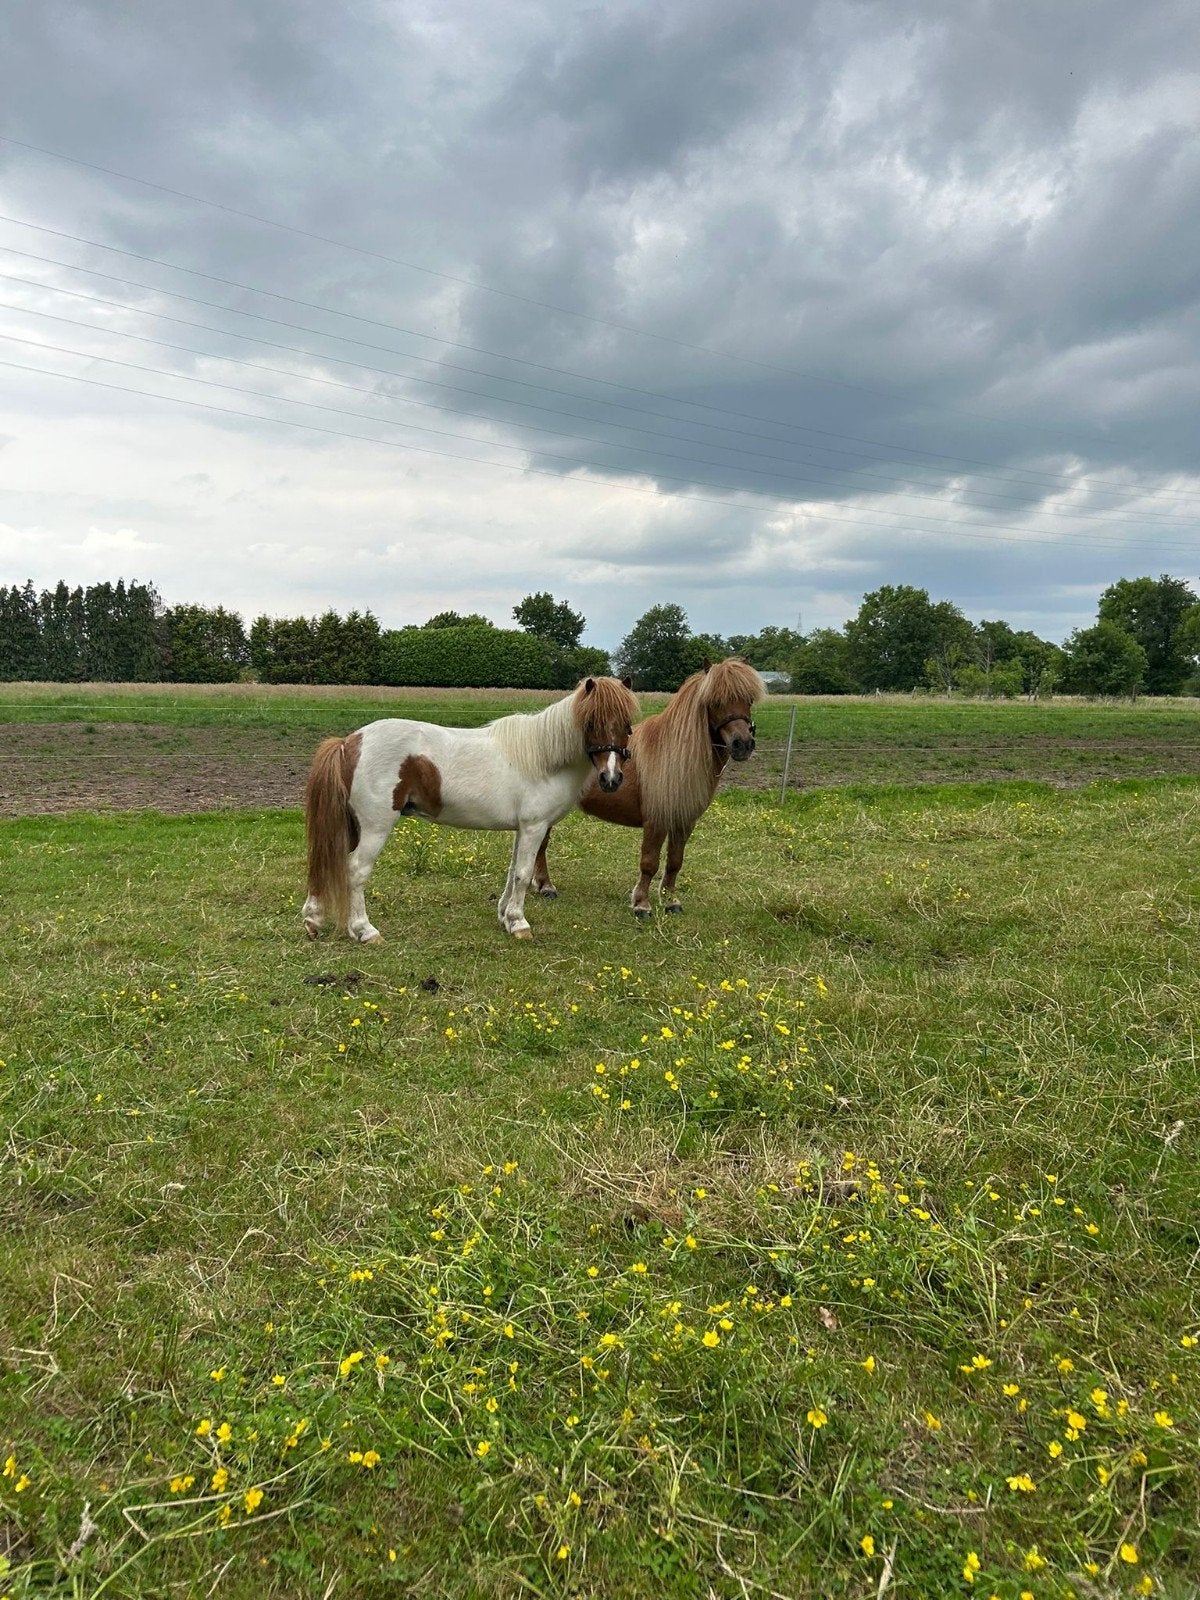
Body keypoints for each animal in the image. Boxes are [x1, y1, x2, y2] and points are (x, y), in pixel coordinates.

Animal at [303, 676, 639, 943]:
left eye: (627, 726)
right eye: (591, 723)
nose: (611, 778)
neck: (543, 758)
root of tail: (349, 742)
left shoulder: (523, 828)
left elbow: (512, 872)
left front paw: (505, 917)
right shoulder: (534, 827)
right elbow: (524, 873)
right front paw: (519, 923)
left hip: (350, 826)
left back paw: (313, 920)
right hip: (374, 828)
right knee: (355, 870)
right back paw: (364, 930)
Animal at [533, 657, 765, 917]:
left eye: (748, 699)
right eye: (715, 701)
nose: (742, 744)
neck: (675, 753)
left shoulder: (684, 822)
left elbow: (674, 862)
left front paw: (671, 901)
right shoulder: (657, 821)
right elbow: (649, 863)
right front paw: (641, 904)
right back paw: (545, 886)